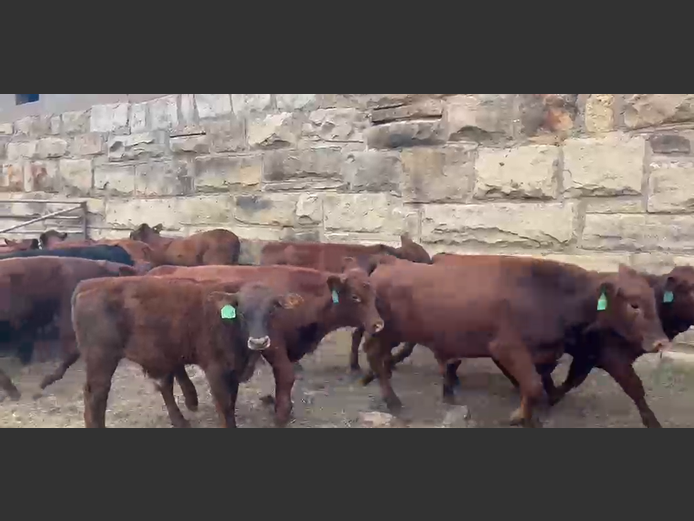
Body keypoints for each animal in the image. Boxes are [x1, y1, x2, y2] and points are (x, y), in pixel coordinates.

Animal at [72, 276, 305, 428]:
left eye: (272, 309)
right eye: (242, 312)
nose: (258, 341)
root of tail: (88, 284)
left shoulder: (233, 371)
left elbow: (232, 402)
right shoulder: (215, 370)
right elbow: (225, 408)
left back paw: (180, 422)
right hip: (101, 359)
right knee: (96, 397)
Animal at [147, 261, 384, 426]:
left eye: (374, 293)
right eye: (355, 297)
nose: (378, 324)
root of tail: (160, 269)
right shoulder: (272, 344)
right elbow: (286, 376)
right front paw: (281, 414)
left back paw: (191, 398)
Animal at [359, 255, 670, 427]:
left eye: (654, 300)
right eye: (634, 304)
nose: (660, 342)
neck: (546, 293)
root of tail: (390, 262)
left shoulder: (542, 355)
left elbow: (535, 386)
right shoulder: (506, 347)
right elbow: (532, 386)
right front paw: (521, 418)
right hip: (387, 332)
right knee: (373, 353)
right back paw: (391, 399)